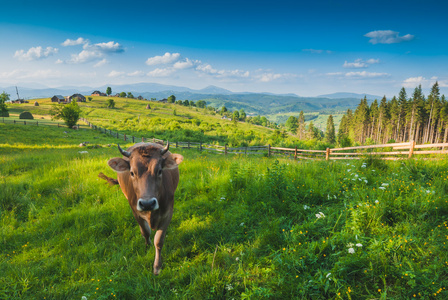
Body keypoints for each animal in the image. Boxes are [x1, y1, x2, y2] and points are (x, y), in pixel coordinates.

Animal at [107, 142, 184, 276]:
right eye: (132, 172)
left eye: (159, 171)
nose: (147, 203)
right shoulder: (136, 212)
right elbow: (145, 232)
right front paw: (147, 247)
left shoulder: (168, 213)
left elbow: (159, 240)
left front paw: (157, 266)